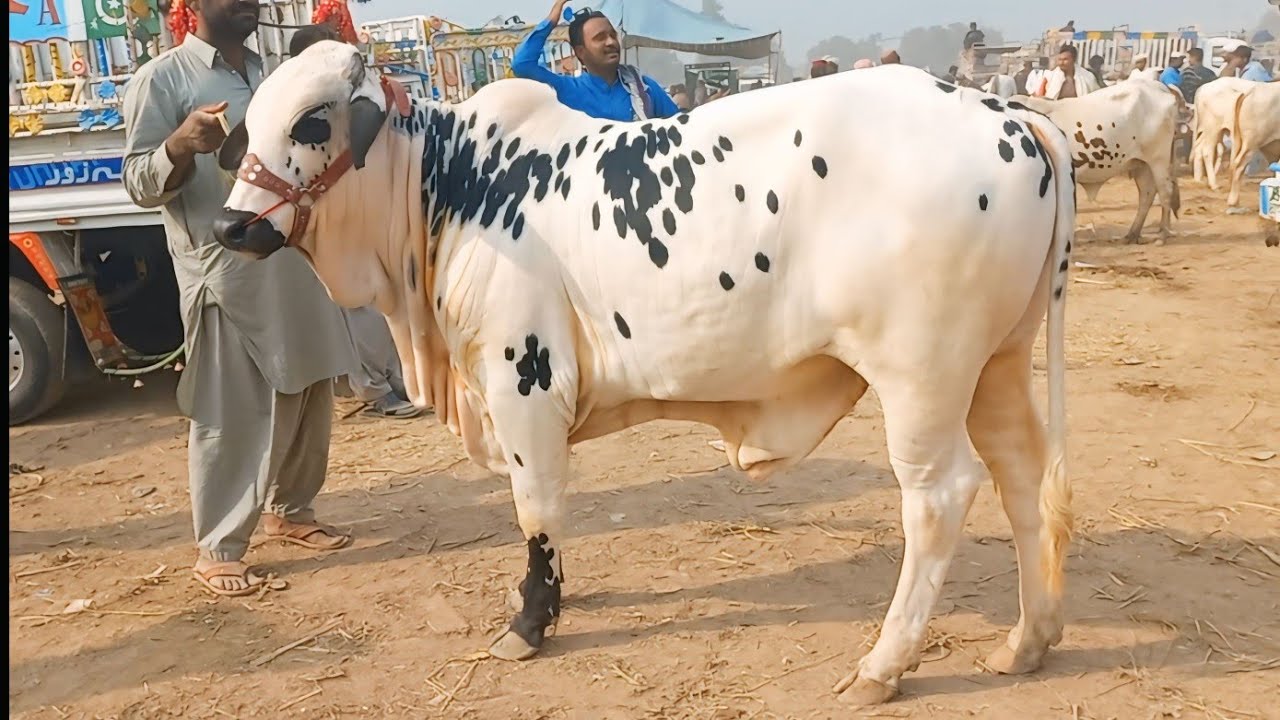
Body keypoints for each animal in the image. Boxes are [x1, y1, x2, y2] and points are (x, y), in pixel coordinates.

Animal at [211, 43, 1075, 707]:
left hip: (921, 378)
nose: (230, 225)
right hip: (995, 364)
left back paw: (882, 666)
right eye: (250, 125)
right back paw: (1028, 639)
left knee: (938, 498)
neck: (451, 185)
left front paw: (530, 621)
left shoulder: (523, 383)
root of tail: (1004, 113)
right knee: (1022, 474)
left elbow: (536, 507)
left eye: (312, 120)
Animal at [1014, 79, 1181, 243]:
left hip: (1158, 160)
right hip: (1141, 164)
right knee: (1147, 194)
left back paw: (1162, 236)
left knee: (1165, 192)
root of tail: (1160, 87)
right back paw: (1132, 234)